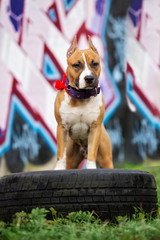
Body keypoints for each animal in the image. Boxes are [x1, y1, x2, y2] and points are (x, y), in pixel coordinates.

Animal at [54, 36, 113, 170]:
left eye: (95, 64)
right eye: (76, 65)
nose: (89, 78)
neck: (81, 97)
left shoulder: (95, 128)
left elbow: (92, 152)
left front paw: (91, 168)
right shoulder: (62, 127)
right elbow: (60, 153)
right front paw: (58, 168)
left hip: (106, 160)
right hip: (71, 160)